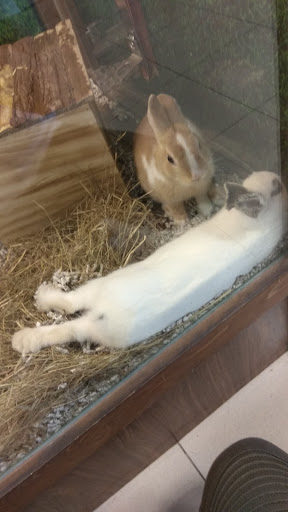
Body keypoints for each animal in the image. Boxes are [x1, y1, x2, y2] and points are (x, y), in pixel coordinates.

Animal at [11, 172, 286, 356]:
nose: (276, 176)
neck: (258, 225)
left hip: (101, 294)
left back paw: (24, 332)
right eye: (277, 186)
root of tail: (105, 313)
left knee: (70, 317)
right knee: (73, 313)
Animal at [134, 94, 215, 222]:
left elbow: (202, 198)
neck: (185, 184)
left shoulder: (201, 189)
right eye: (169, 159)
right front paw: (182, 221)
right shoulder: (170, 200)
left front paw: (208, 211)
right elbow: (176, 208)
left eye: (198, 144)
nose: (196, 176)